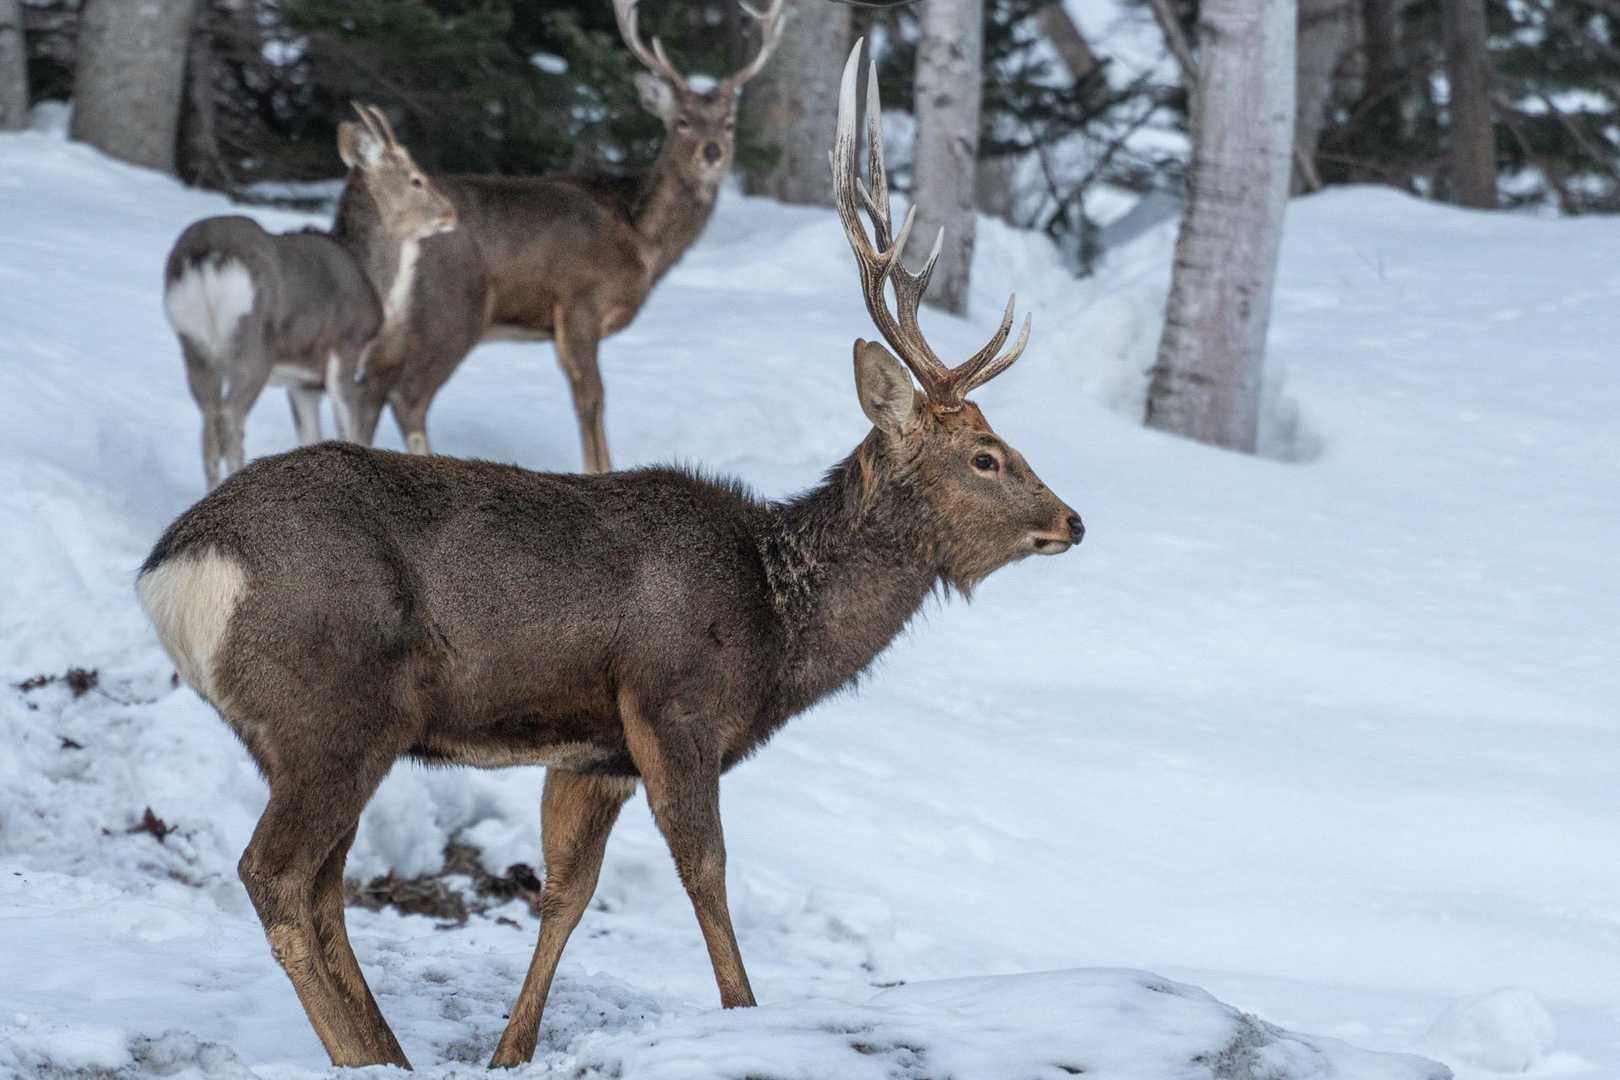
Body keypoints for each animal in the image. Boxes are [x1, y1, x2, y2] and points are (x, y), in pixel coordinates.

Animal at [161, 105, 457, 490]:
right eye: (416, 179)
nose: (451, 213)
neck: (370, 273)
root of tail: (205, 253)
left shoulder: (303, 383)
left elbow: (310, 436)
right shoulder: (346, 348)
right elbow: (349, 428)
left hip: (193, 344)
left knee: (209, 423)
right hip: (253, 342)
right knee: (230, 418)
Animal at [411, 0, 785, 474]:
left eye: (729, 123)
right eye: (682, 121)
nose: (712, 152)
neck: (641, 242)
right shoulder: (577, 301)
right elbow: (593, 400)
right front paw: (600, 471)